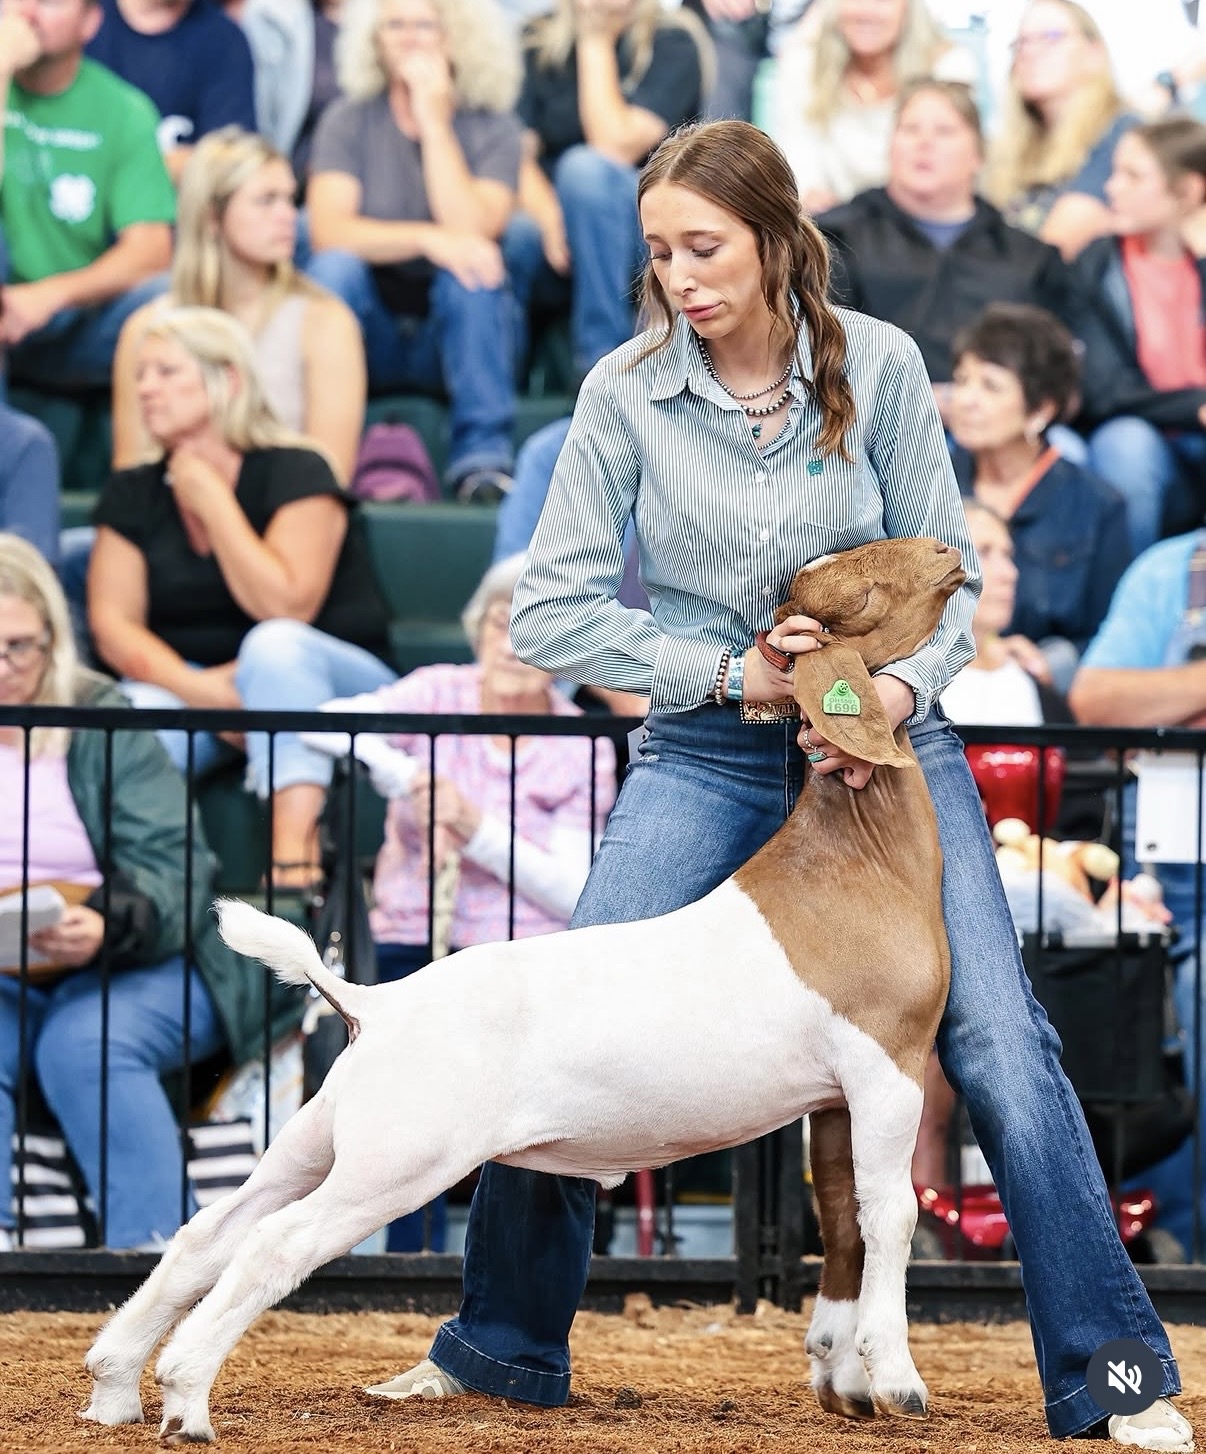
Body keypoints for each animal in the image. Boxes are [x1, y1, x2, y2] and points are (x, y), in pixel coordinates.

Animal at [81, 536, 966, 1445]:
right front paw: (897, 1379)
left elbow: (841, 1216)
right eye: (862, 589)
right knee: (273, 1243)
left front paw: (841, 1377)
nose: (947, 551)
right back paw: (185, 1397)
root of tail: (375, 1002)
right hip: (403, 1157)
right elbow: (890, 1212)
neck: (851, 861)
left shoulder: (831, 1097)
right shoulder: (888, 1064)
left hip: (326, 1138)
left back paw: (116, 1388)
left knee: (212, 1231)